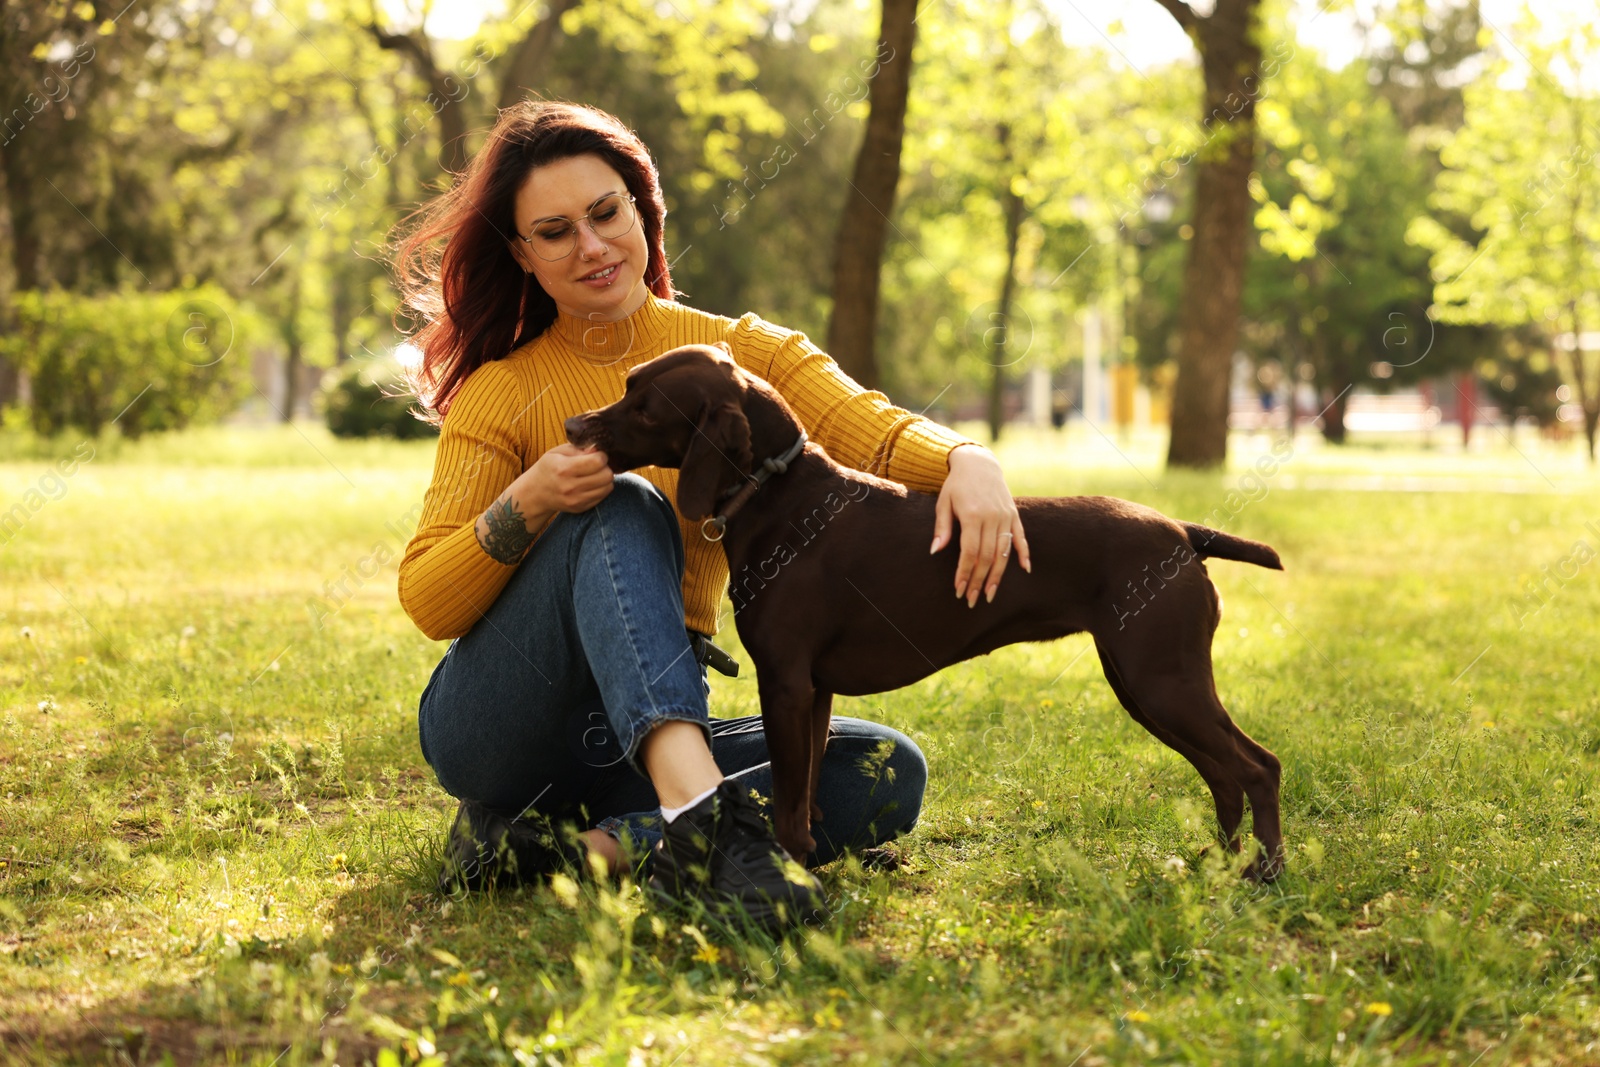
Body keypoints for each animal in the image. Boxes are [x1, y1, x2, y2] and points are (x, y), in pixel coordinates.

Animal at [569, 347, 1292, 883]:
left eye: (646, 408)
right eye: (628, 386)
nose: (574, 428)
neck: (779, 500)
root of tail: (1183, 532)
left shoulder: (785, 682)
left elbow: (789, 802)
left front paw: (792, 878)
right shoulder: (814, 692)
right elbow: (804, 797)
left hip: (1162, 680)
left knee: (1257, 766)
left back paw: (1264, 874)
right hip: (1145, 685)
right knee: (1226, 773)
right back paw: (1221, 868)